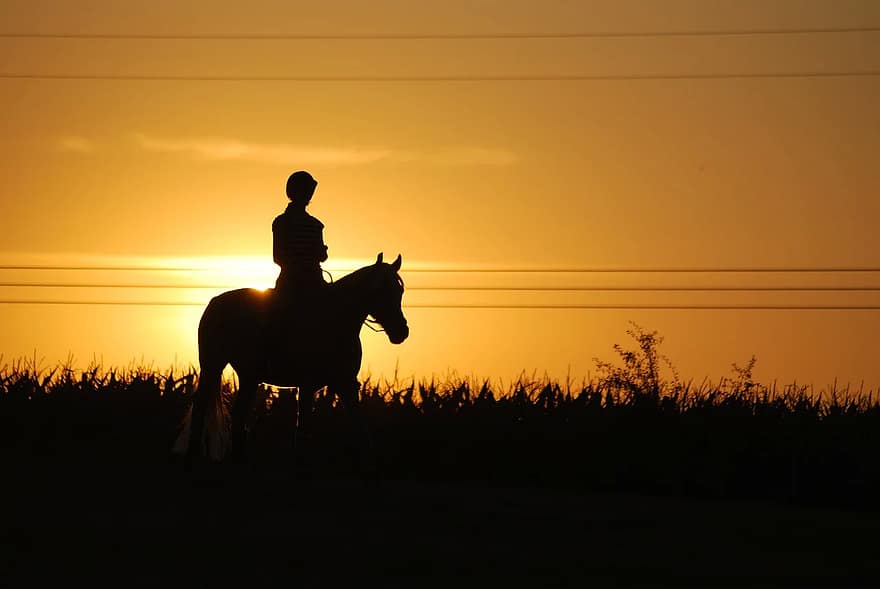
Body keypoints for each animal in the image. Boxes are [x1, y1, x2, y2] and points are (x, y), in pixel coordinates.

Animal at [182, 252, 410, 468]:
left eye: (399, 291)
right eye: (380, 290)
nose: (401, 332)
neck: (336, 320)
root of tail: (215, 302)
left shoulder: (345, 383)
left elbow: (361, 427)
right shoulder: (308, 384)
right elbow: (303, 431)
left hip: (248, 376)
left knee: (238, 415)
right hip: (213, 366)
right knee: (201, 411)